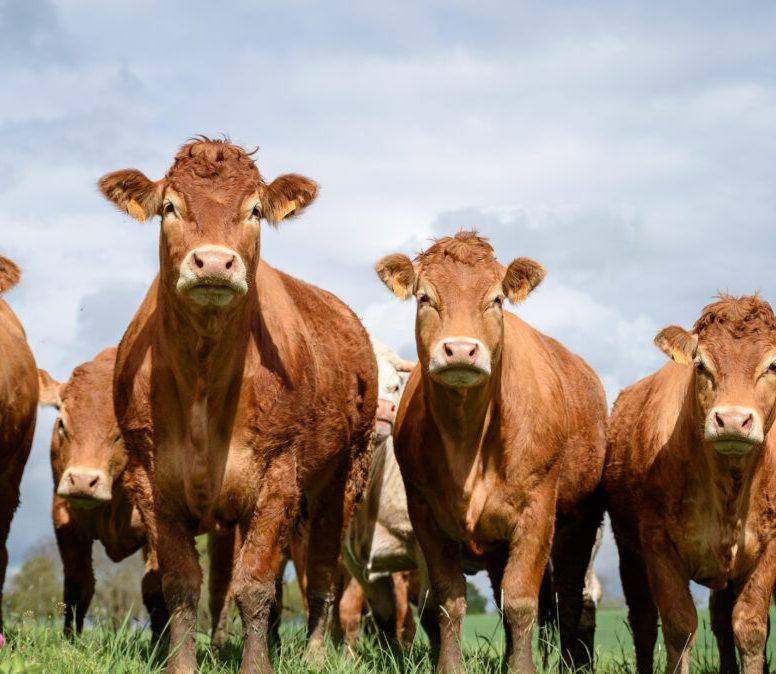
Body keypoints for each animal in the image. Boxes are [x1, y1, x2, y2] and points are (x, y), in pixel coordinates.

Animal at [38, 350, 168, 636]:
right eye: (62, 424)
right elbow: (78, 586)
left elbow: (156, 589)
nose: (82, 480)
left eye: (120, 433)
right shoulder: (64, 518)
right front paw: (70, 642)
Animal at [98, 138, 378, 672]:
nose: (212, 263)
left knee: (322, 574)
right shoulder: (150, 479)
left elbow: (255, 586)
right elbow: (182, 585)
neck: (204, 378)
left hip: (342, 479)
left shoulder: (277, 476)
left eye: (254, 210)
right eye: (170, 207)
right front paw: (182, 664)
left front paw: (256, 665)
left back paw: (314, 654)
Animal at [376, 232, 608, 672]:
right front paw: (451, 667)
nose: (460, 350)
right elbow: (448, 600)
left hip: (581, 517)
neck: (467, 439)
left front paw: (523, 669)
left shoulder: (537, 509)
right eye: (424, 297)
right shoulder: (425, 514)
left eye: (496, 299)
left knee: (572, 593)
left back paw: (574, 663)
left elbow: (521, 600)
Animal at [608, 292, 776, 672]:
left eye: (773, 366)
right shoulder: (657, 544)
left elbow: (750, 629)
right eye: (701, 365)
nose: (733, 420)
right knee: (643, 622)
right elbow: (679, 627)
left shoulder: (770, 545)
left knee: (721, 620)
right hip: (628, 550)